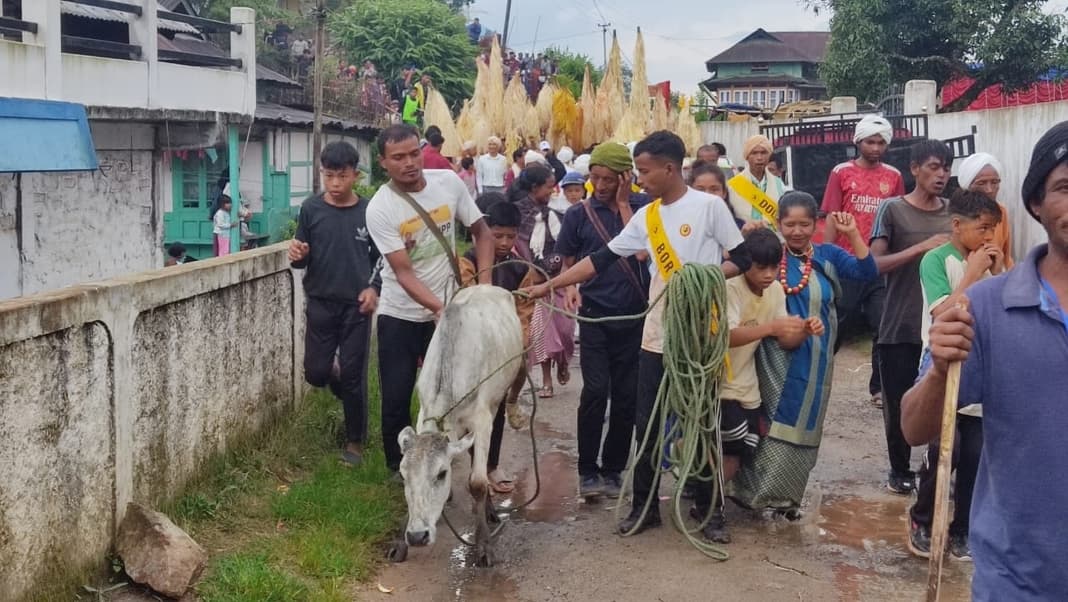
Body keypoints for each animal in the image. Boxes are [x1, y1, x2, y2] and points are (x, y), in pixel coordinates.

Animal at [397, 283, 525, 567]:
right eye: (403, 475)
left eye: (442, 473)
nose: (417, 536)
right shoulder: (424, 413)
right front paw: (400, 543)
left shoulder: (482, 420)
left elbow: (477, 482)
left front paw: (483, 544)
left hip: (498, 401)